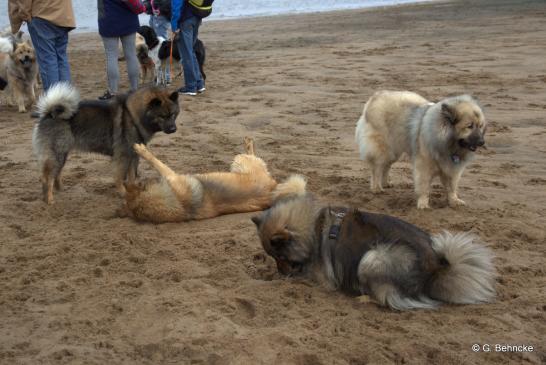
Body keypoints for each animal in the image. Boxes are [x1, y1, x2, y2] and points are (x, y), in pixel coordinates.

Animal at [354, 90, 486, 208]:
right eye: (469, 126)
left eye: (480, 126)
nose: (482, 142)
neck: (446, 143)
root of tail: (375, 97)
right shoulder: (424, 167)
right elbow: (424, 186)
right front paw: (423, 204)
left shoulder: (452, 168)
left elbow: (451, 186)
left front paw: (453, 201)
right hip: (383, 149)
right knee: (377, 168)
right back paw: (376, 188)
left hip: (394, 151)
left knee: (386, 166)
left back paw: (385, 183)